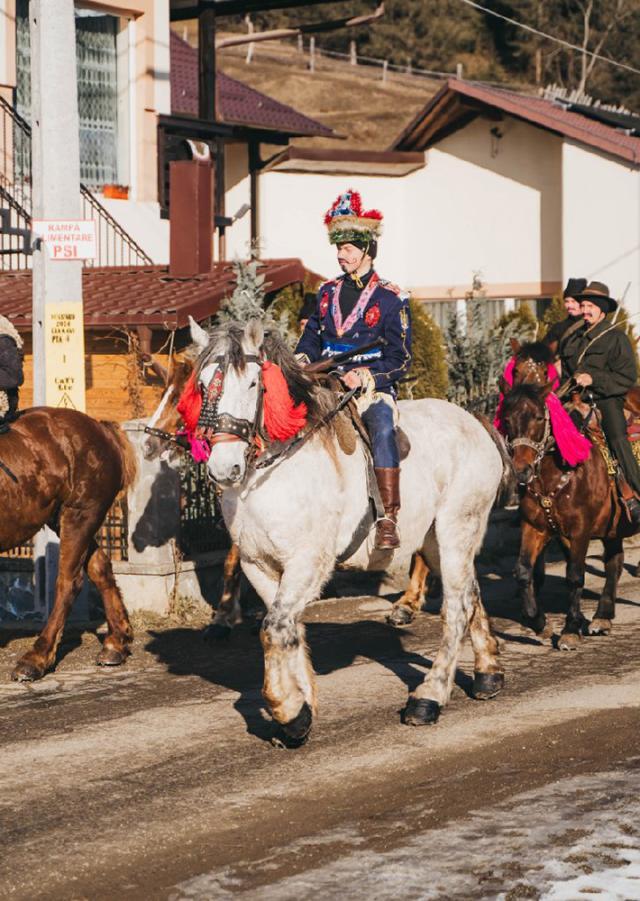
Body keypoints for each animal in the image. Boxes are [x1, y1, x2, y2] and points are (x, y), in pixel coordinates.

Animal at [1, 404, 137, 680]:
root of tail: (102, 429)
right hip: (67, 518)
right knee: (100, 568)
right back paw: (116, 642)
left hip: (81, 514)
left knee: (68, 582)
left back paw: (37, 657)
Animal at [180, 318, 510, 744]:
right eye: (203, 385)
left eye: (253, 383)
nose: (224, 469)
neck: (271, 472)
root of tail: (475, 422)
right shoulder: (258, 564)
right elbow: (286, 629)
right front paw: (301, 706)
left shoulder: (308, 561)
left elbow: (273, 629)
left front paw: (288, 711)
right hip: (436, 540)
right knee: (471, 592)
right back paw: (488, 674)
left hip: (458, 527)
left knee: (456, 607)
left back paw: (429, 698)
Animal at [500, 382, 632, 648]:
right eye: (506, 420)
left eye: (538, 418)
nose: (522, 471)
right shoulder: (535, 527)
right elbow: (523, 572)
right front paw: (539, 622)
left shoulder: (581, 530)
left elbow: (574, 576)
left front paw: (570, 630)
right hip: (613, 529)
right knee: (614, 563)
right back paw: (603, 616)